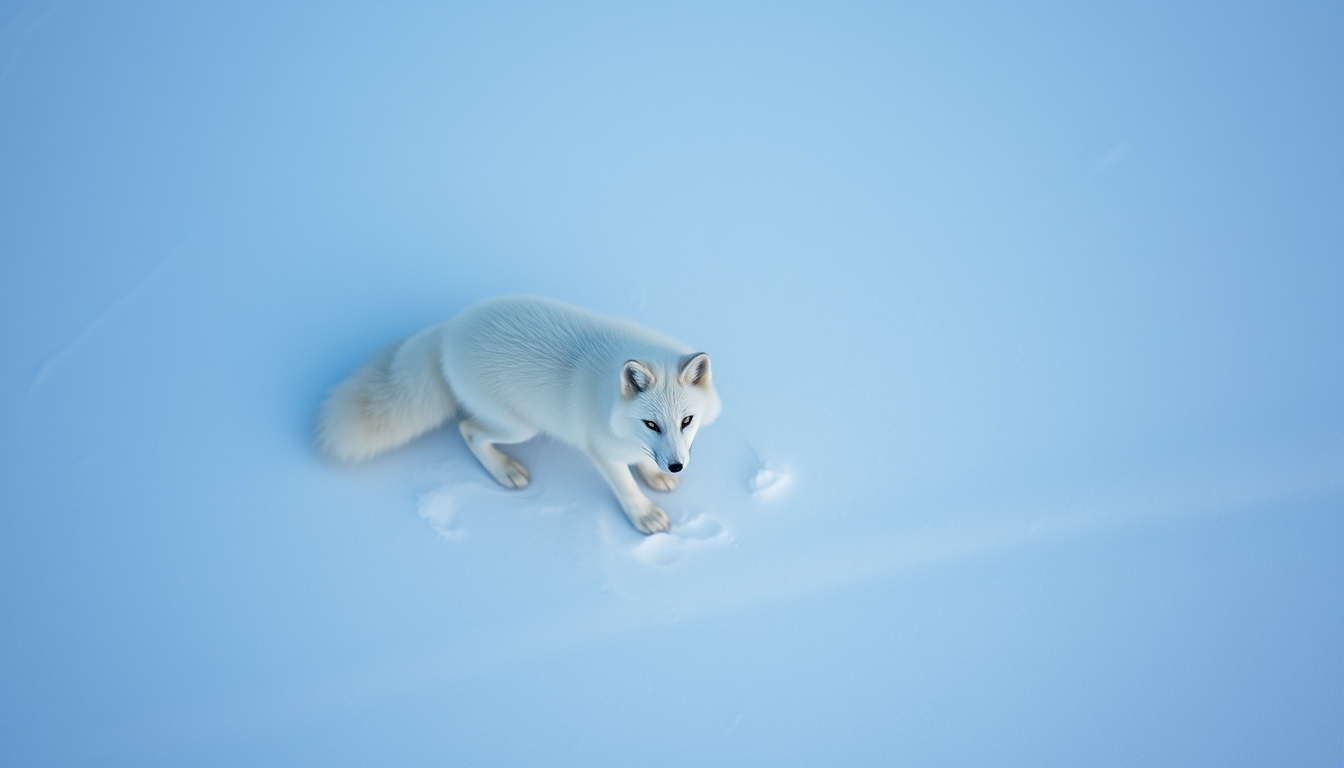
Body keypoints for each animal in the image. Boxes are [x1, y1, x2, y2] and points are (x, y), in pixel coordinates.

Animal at [315, 295, 721, 534]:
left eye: (686, 421)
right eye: (651, 423)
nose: (676, 467)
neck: (609, 399)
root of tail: (450, 331)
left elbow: (642, 460)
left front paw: (654, 475)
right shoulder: (600, 450)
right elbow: (625, 486)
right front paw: (643, 514)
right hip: (518, 428)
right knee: (468, 430)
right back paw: (504, 470)